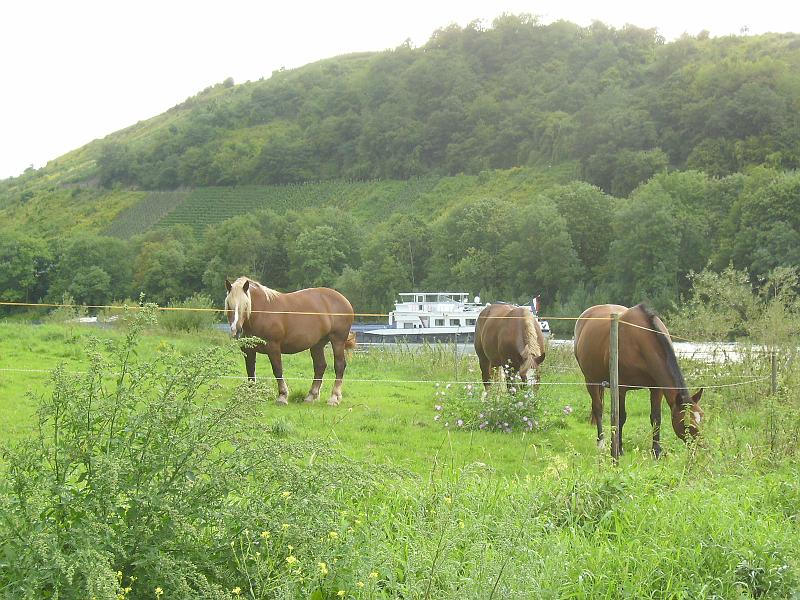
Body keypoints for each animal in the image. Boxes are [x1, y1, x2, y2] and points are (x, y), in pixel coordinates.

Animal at [222, 278, 354, 406]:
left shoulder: (273, 347)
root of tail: (344, 300)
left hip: (337, 341)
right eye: (229, 304)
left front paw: (282, 396)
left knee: (339, 366)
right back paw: (311, 396)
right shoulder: (248, 350)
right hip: (317, 345)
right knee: (320, 366)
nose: (236, 330)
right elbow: (250, 371)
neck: (263, 312)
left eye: (245, 304)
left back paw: (334, 398)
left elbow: (277, 370)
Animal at [572, 302, 704, 458]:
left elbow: (656, 418)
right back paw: (601, 443)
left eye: (702, 418)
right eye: (686, 423)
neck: (640, 342)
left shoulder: (656, 389)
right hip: (590, 380)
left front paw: (656, 451)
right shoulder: (621, 388)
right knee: (598, 409)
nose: (701, 448)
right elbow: (621, 417)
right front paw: (619, 449)